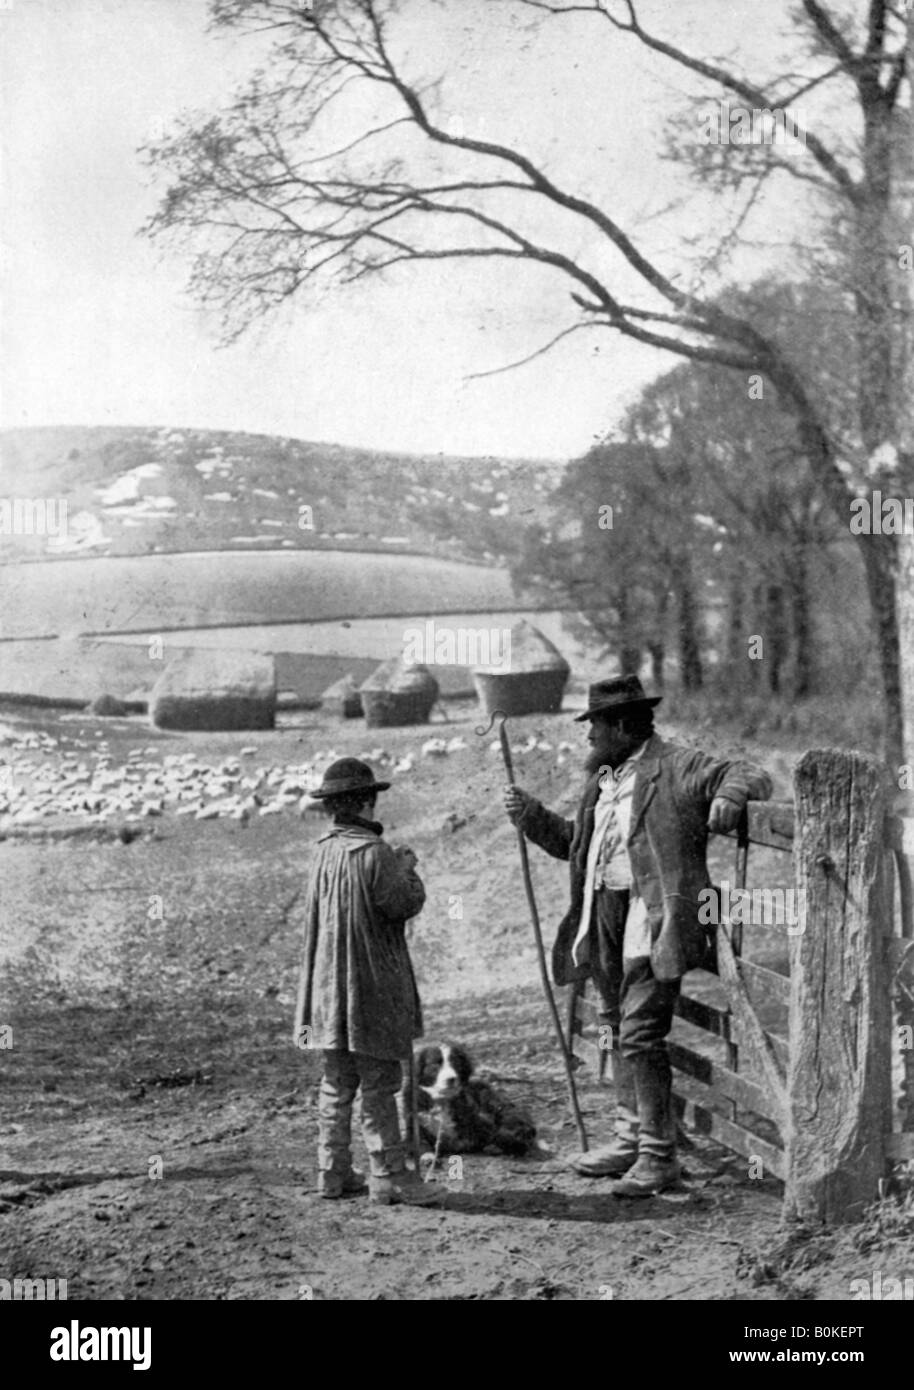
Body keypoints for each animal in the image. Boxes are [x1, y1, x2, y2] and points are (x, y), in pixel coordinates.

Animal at [408, 1045, 536, 1156]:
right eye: (435, 1065)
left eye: (456, 1064)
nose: (451, 1079)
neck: (441, 1100)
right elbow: (420, 1141)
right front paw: (427, 1155)